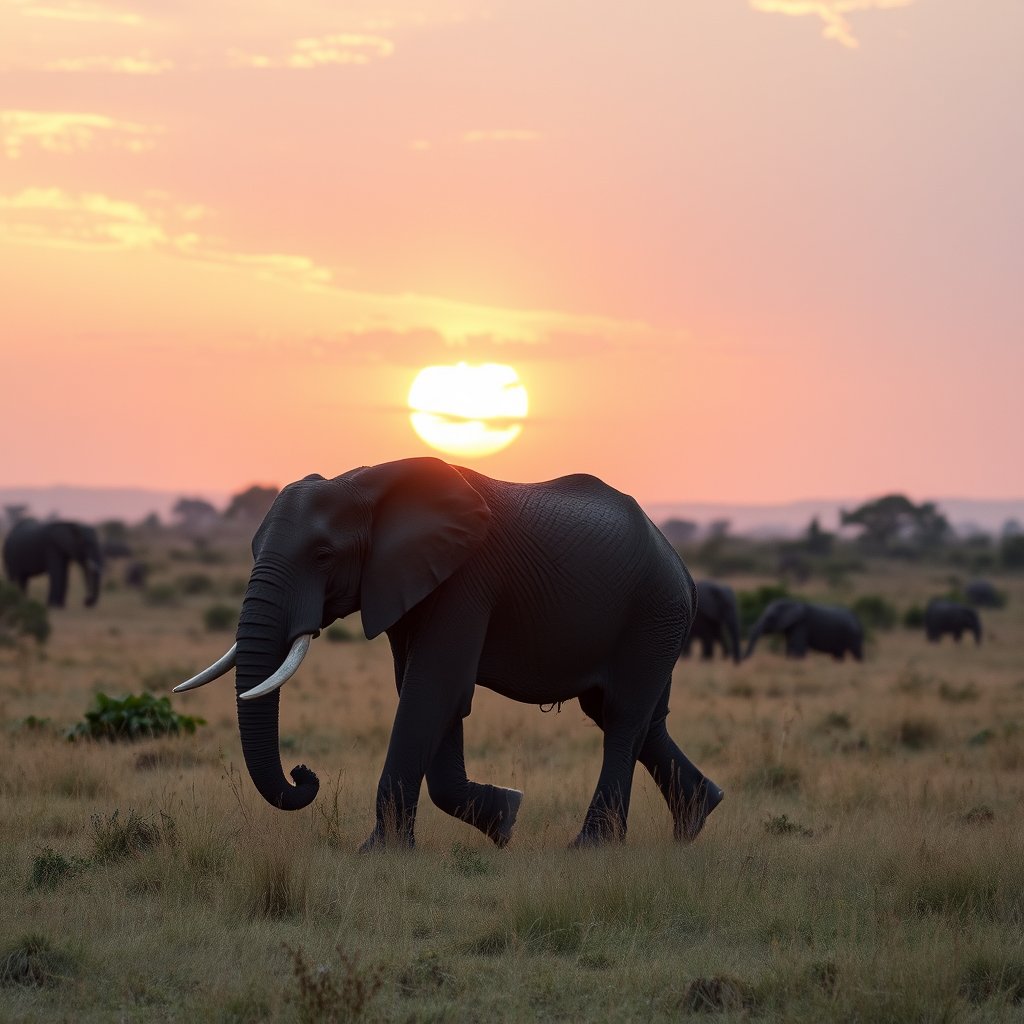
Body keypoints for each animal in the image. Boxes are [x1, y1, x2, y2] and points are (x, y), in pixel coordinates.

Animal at [174, 458, 723, 850]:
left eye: (323, 555)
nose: (303, 773)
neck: (365, 483)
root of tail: (680, 563)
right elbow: (432, 696)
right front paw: (505, 818)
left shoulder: (467, 580)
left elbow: (432, 691)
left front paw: (381, 853)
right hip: (657, 621)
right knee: (633, 718)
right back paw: (697, 820)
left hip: (653, 613)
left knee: (624, 717)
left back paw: (592, 847)